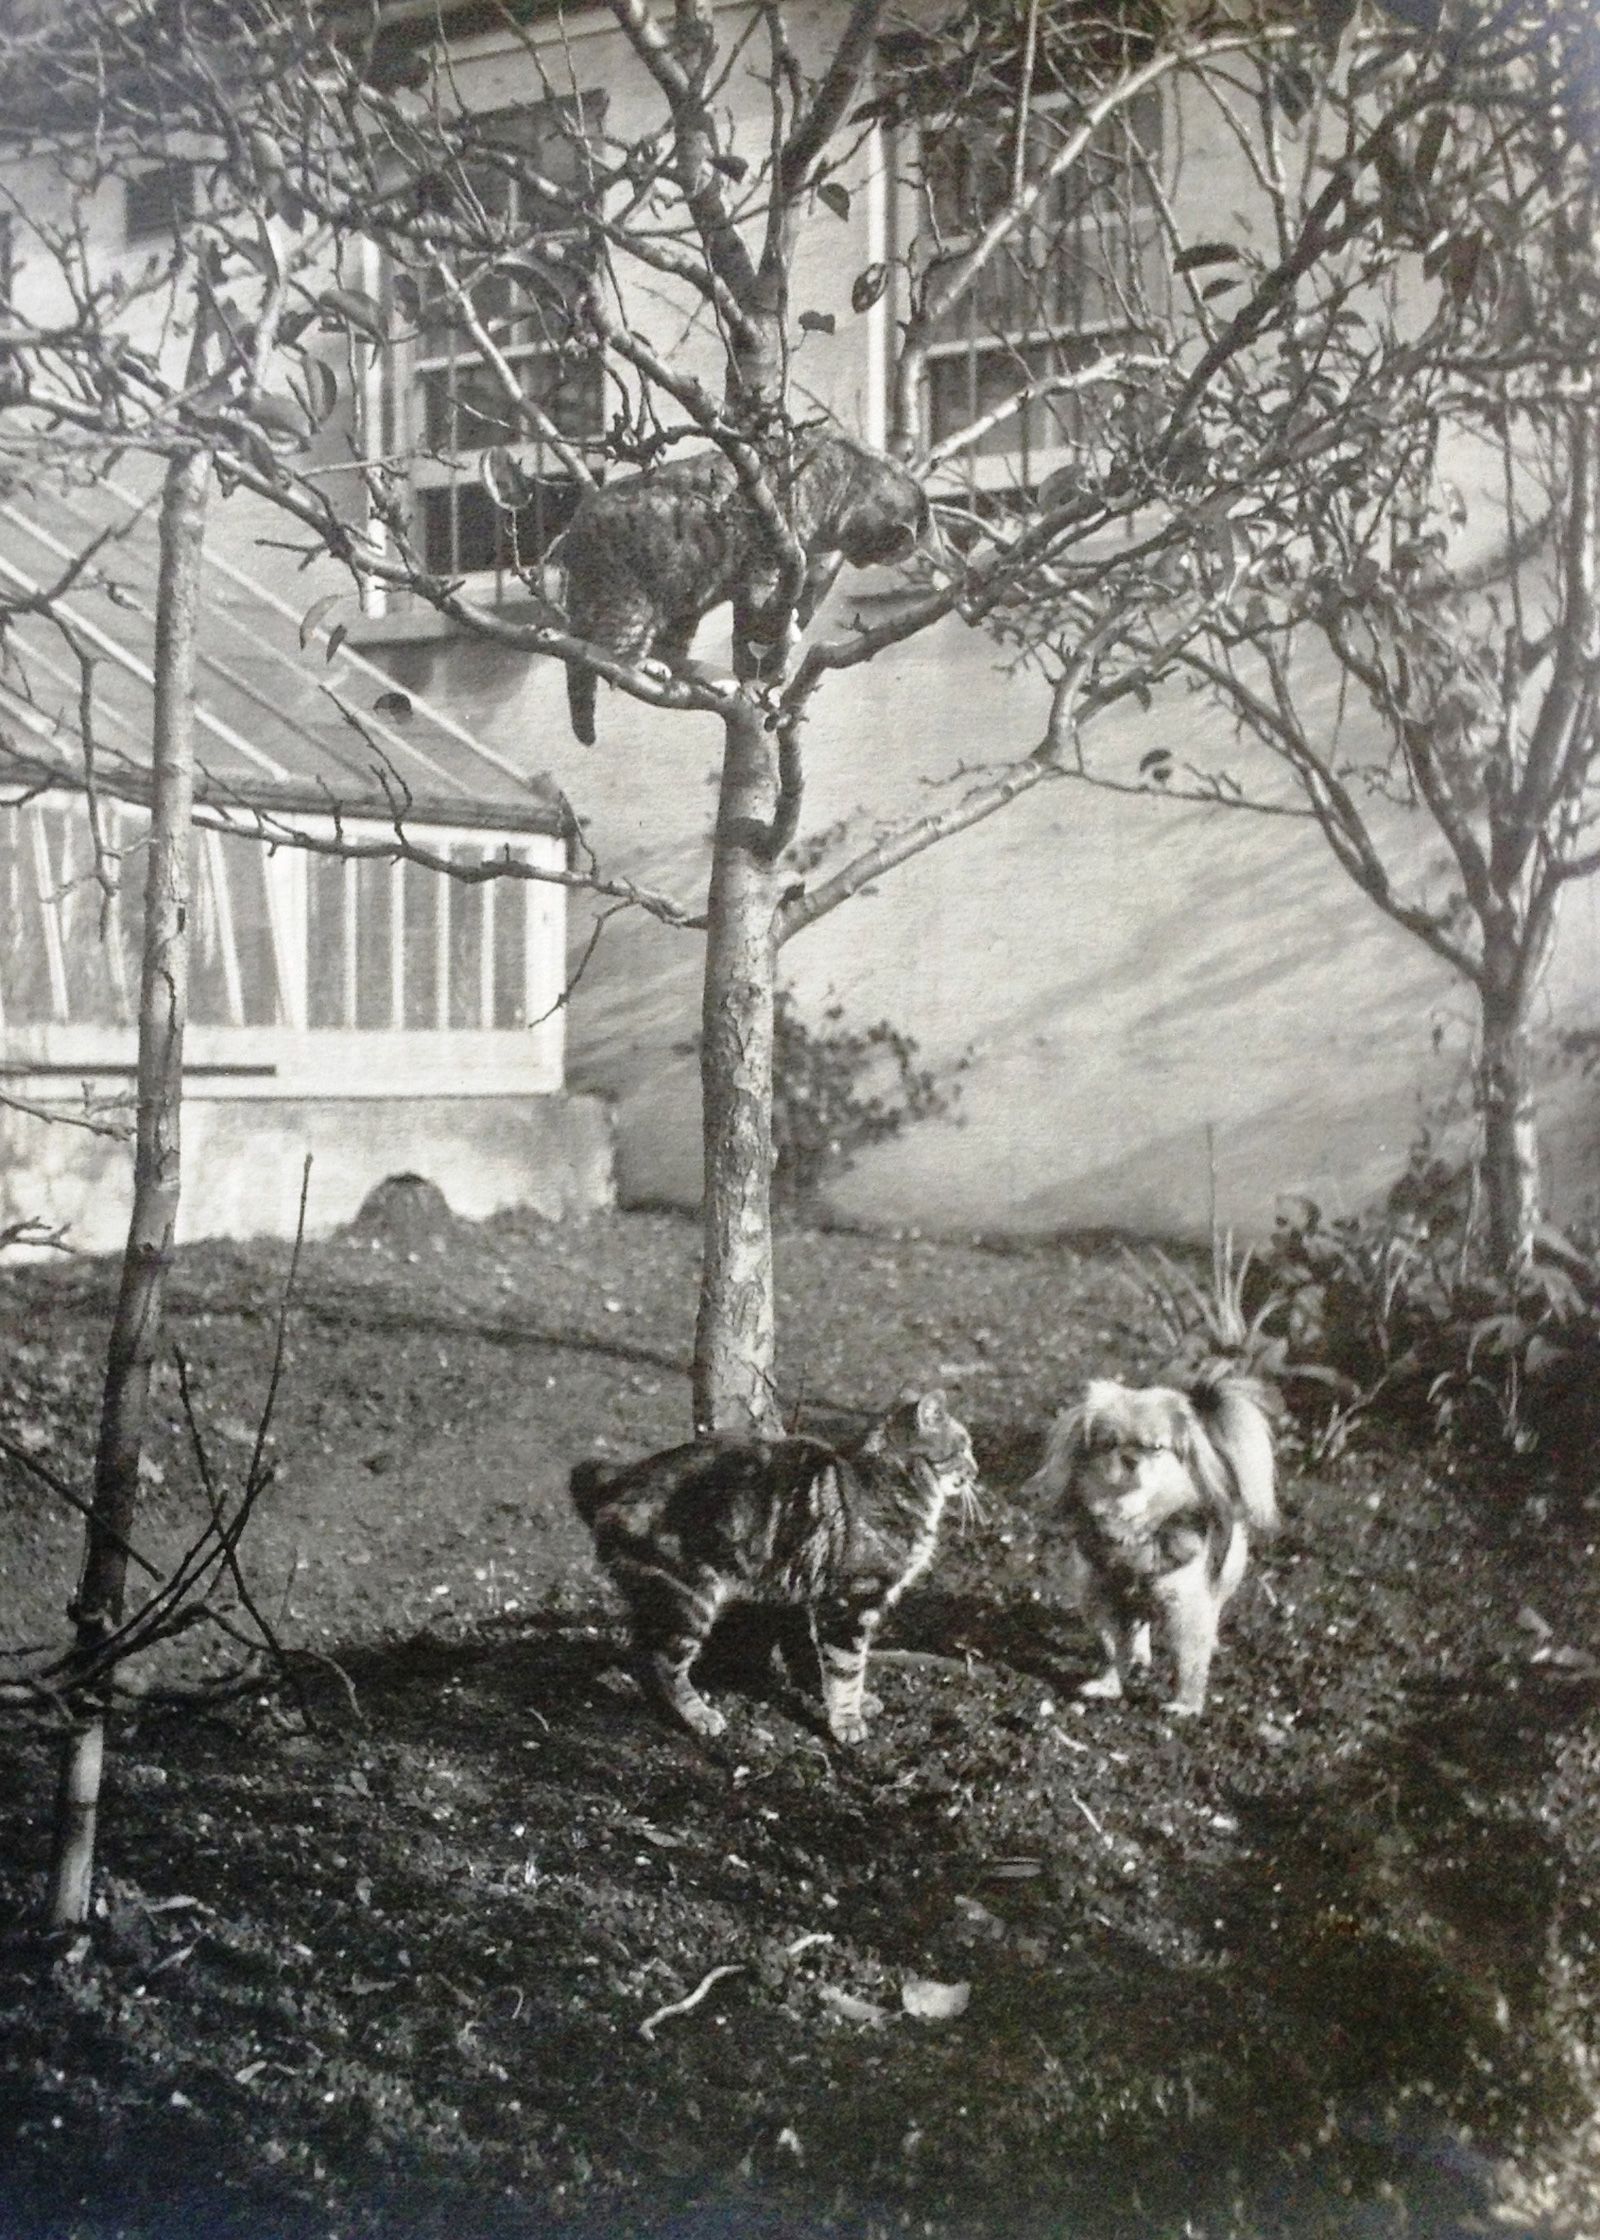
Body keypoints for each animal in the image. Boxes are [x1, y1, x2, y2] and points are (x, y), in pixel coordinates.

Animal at [566, 1388, 977, 1738]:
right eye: (964, 1447)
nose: (976, 1470)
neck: (888, 1484)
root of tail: (617, 1480)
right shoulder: (850, 1603)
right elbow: (845, 1669)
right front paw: (846, 1720)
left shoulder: (810, 1597)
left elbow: (812, 1658)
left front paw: (850, 1702)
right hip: (688, 1599)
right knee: (663, 1664)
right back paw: (698, 1714)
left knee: (640, 1654)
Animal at [1021, 1361, 1272, 1711]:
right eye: (1108, 1444)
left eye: (1155, 1448)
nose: (1129, 1458)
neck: (1130, 1523)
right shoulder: (1102, 1599)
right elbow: (1112, 1649)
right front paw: (1109, 1685)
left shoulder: (1186, 1607)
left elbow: (1189, 1662)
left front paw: (1185, 1706)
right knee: (1141, 1625)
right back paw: (1140, 1654)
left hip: (1224, 1574)